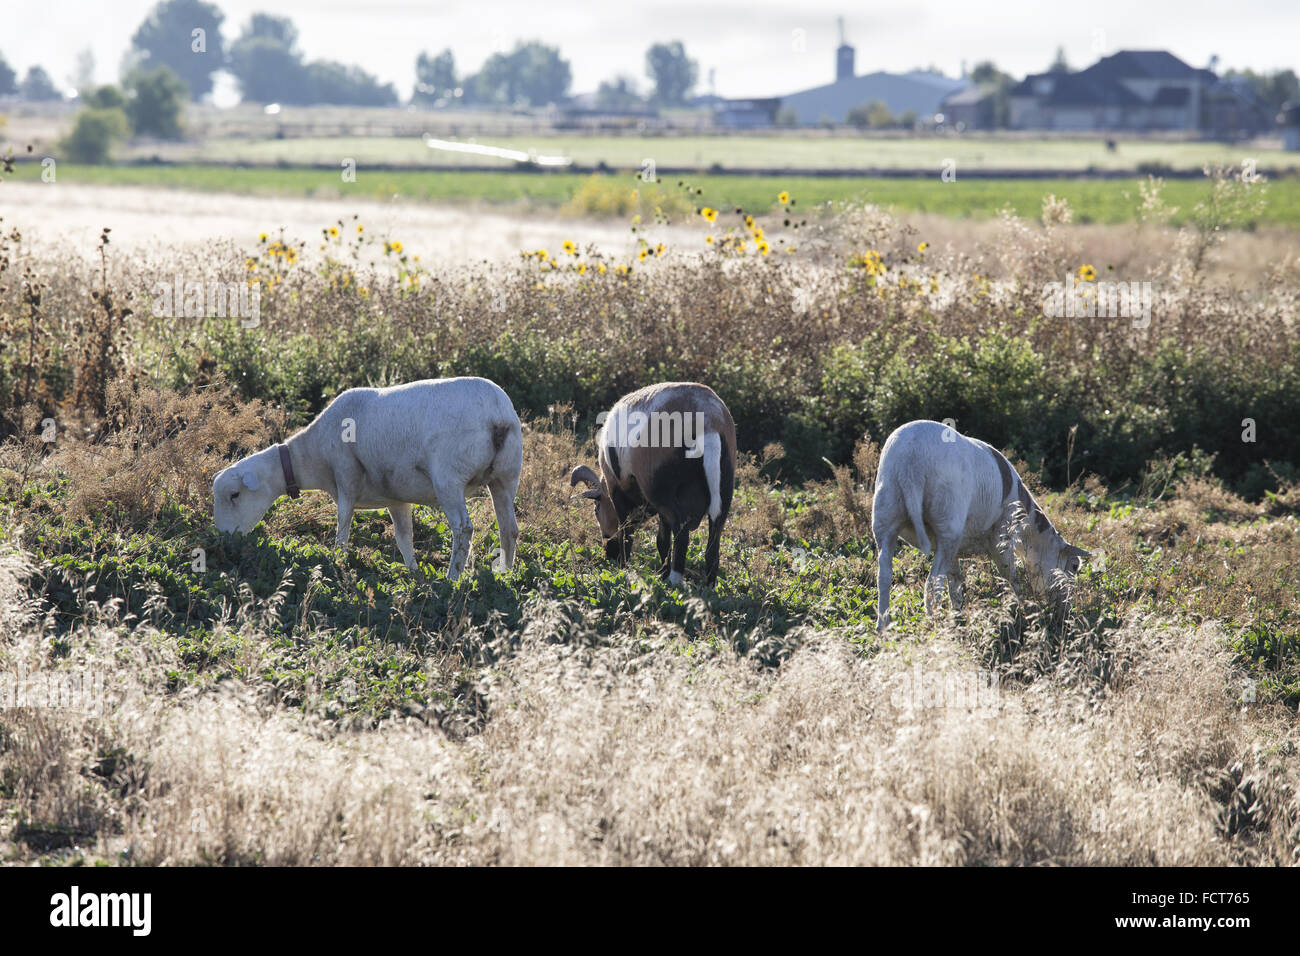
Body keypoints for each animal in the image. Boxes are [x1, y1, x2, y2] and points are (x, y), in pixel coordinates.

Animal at [213, 376, 521, 581]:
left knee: (463, 529)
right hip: (506, 476)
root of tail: (497, 417)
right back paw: (506, 574)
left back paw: (452, 578)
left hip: (449, 478)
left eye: (234, 495)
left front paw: (337, 559)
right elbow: (404, 538)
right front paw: (413, 572)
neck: (311, 455)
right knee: (509, 528)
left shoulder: (345, 474)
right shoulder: (396, 497)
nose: (224, 538)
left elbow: (344, 523)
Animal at [570, 382, 736, 586]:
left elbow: (626, 532)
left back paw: (674, 580)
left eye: (596, 509)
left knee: (682, 533)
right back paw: (708, 585)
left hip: (660, 492)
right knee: (713, 541)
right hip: (724, 492)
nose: (609, 554)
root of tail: (709, 422)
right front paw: (661, 573)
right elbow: (662, 540)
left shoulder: (618, 490)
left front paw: (624, 567)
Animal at [871, 419, 1091, 631]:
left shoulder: (955, 549)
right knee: (933, 583)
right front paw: (1023, 608)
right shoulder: (1002, 534)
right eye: (1074, 566)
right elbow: (1010, 575)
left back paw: (883, 626)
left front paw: (957, 615)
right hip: (947, 521)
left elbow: (955, 583)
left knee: (884, 575)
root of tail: (911, 464)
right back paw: (932, 624)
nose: (1066, 611)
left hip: (886, 512)